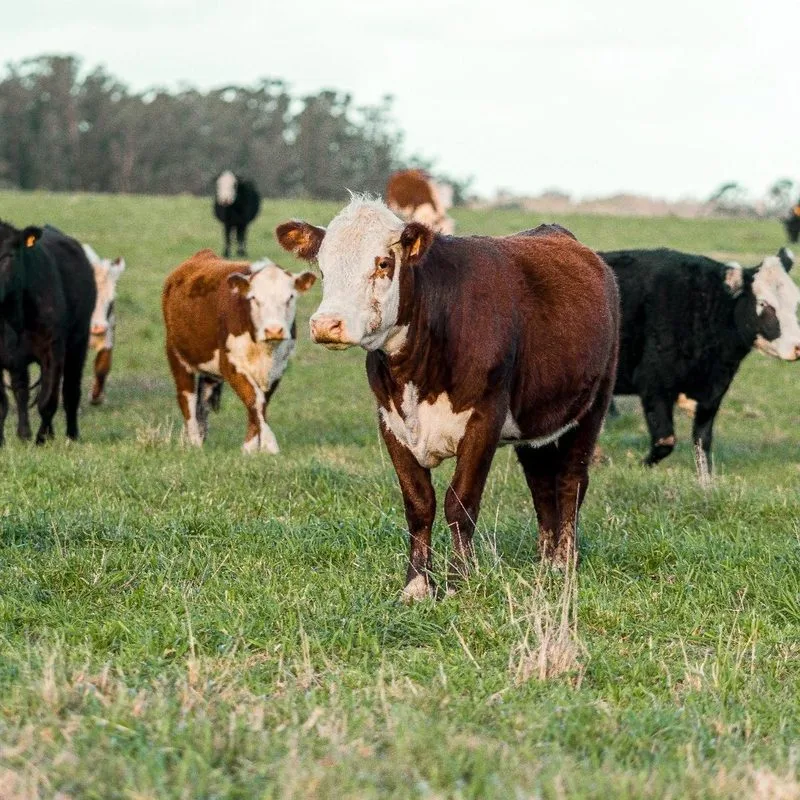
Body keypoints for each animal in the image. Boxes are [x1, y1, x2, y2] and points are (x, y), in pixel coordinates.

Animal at [0, 222, 96, 445]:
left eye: (9, 255)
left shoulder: (53, 349)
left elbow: (48, 400)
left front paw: (42, 438)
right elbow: (3, 403)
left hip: (78, 344)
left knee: (70, 391)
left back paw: (71, 435)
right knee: (21, 390)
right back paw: (24, 434)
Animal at [162, 249, 315, 453]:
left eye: (290, 297)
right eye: (254, 298)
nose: (274, 330)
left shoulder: (278, 368)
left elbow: (261, 404)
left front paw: (250, 449)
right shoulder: (230, 364)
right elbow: (253, 399)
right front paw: (269, 446)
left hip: (209, 372)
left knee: (203, 403)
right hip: (177, 354)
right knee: (187, 399)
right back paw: (194, 443)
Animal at [276, 197, 619, 600]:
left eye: (383, 263)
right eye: (323, 266)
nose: (327, 324)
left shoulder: (484, 418)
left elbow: (461, 503)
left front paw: (459, 581)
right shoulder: (390, 422)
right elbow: (419, 504)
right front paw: (416, 585)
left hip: (593, 404)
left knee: (570, 481)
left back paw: (564, 565)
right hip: (535, 421)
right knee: (541, 485)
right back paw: (546, 564)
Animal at [600, 246, 800, 476]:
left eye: (795, 302)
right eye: (763, 303)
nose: (797, 346)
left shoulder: (713, 392)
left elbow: (702, 442)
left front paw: (706, 481)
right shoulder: (653, 384)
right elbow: (665, 441)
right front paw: (638, 466)